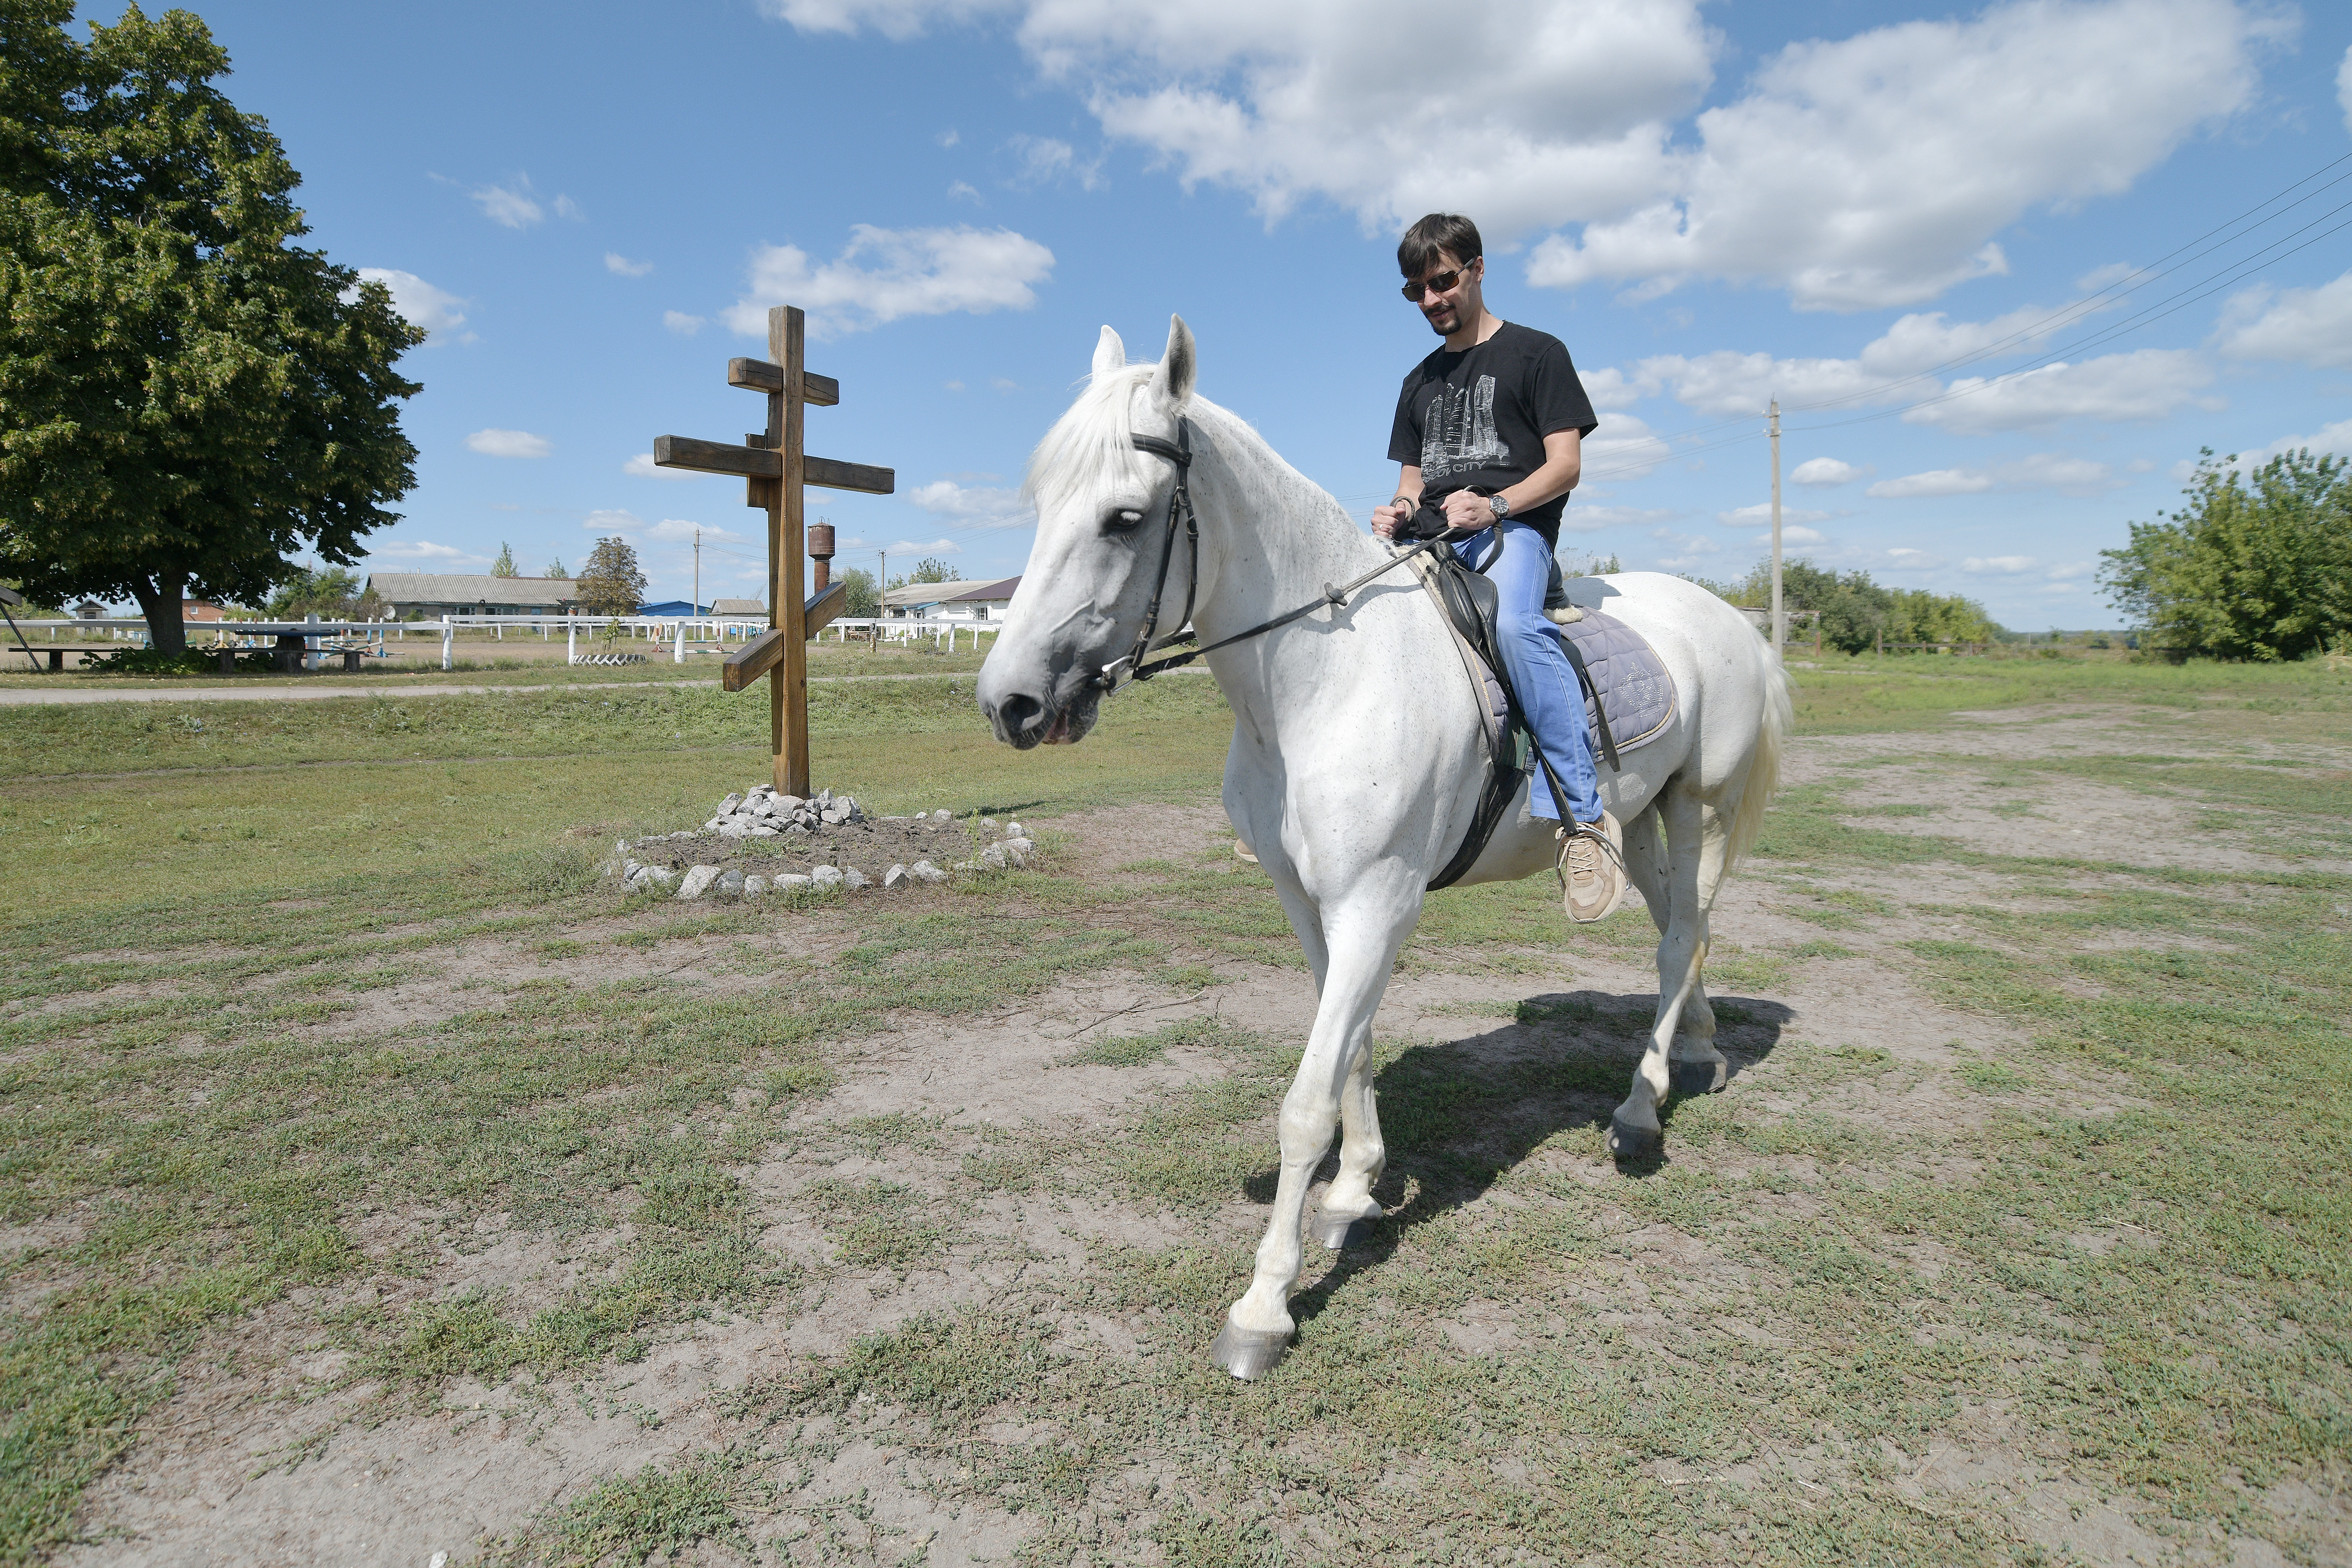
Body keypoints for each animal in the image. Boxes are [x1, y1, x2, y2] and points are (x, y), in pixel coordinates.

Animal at [969, 322, 1778, 1382]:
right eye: (1041, 506)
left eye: (1123, 517)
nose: (1010, 702)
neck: (1321, 679)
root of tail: (1729, 620)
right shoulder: (1311, 901)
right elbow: (1347, 1048)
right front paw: (1353, 1192)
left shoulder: (1376, 903)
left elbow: (1306, 1099)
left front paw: (1264, 1307)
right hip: (1639, 822)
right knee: (1687, 935)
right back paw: (1696, 1052)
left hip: (1700, 808)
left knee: (1681, 939)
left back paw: (1639, 1116)